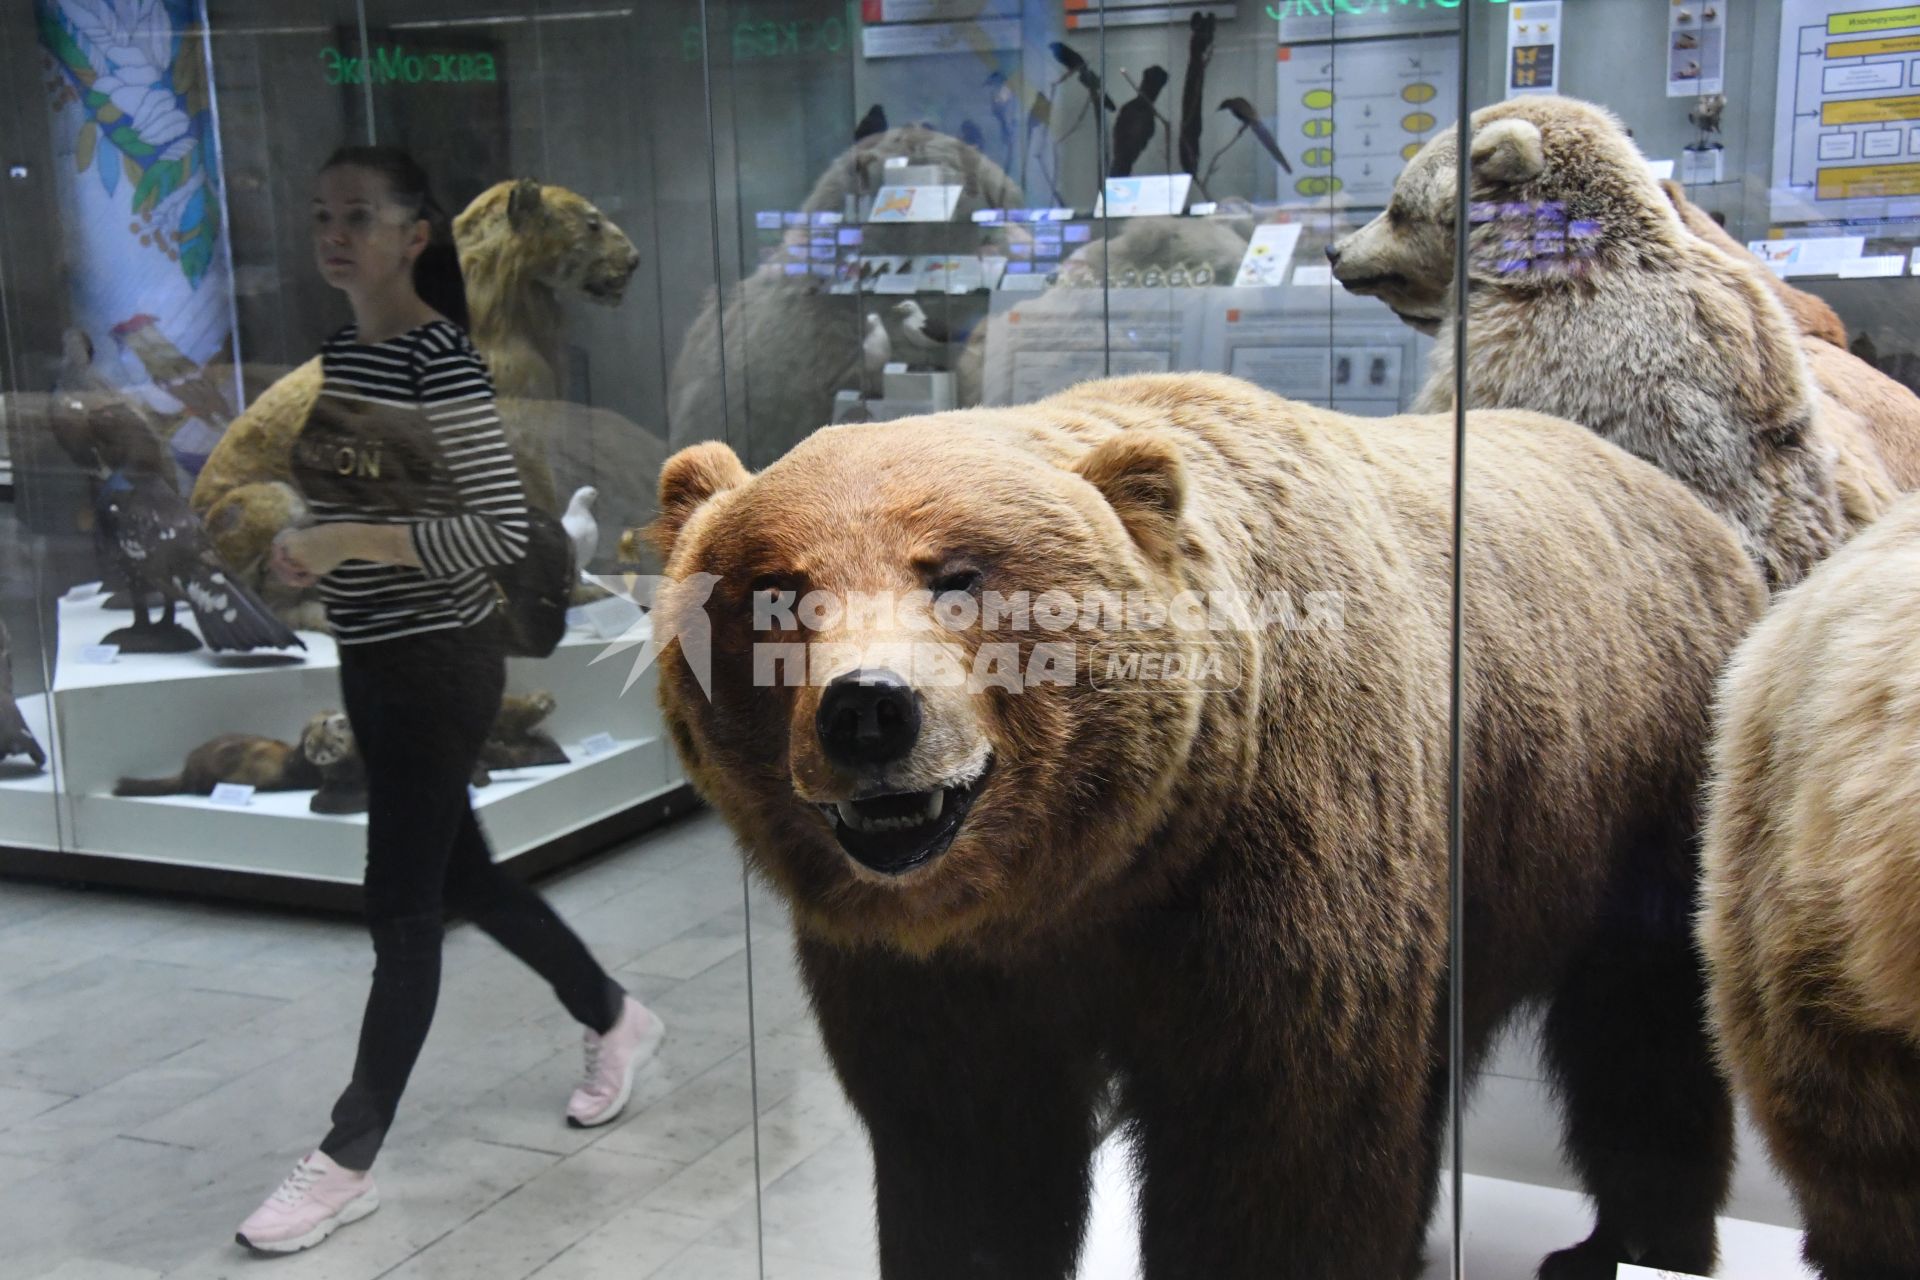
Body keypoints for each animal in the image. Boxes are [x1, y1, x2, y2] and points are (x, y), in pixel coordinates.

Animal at [648, 376, 1766, 1280]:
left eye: (957, 575)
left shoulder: (1274, 889)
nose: (869, 708)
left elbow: (1276, 1148)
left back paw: (1625, 1242)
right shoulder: (937, 978)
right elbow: (971, 1157)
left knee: (1644, 1028)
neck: (1087, 877)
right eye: (778, 591)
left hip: (1646, 789)